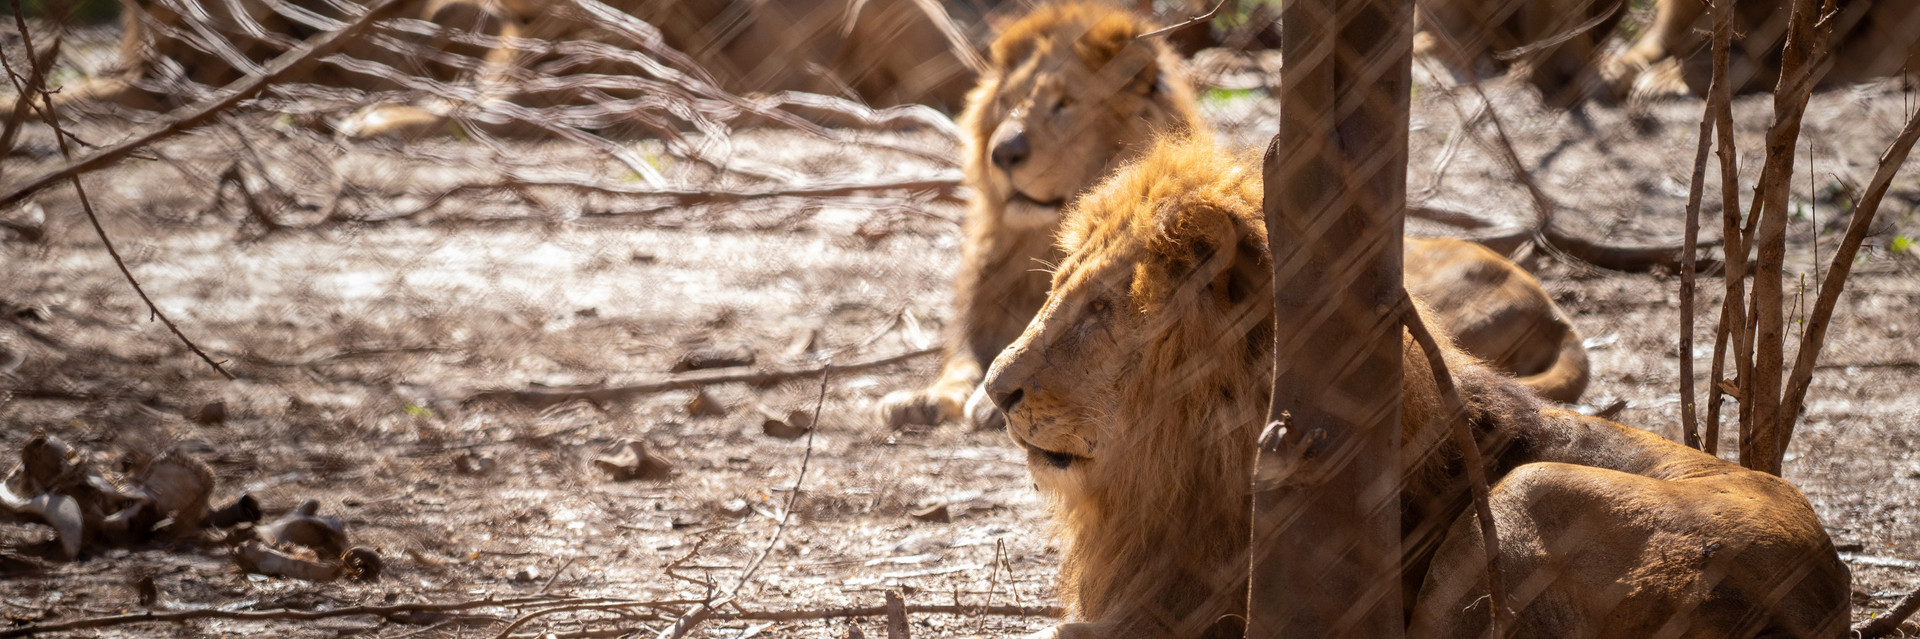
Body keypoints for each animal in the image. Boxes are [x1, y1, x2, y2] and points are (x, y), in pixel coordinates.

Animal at [876, 3, 1589, 430]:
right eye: (1009, 104)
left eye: (1063, 105)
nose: (1004, 153)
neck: (1035, 232)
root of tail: (1555, 313)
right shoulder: (981, 314)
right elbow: (962, 358)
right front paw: (920, 397)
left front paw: (978, 404)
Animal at [981, 135, 1850, 638]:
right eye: (1057, 286)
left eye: (1099, 309)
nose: (994, 391)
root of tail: (1834, 585)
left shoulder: (1202, 608)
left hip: (1524, 495)